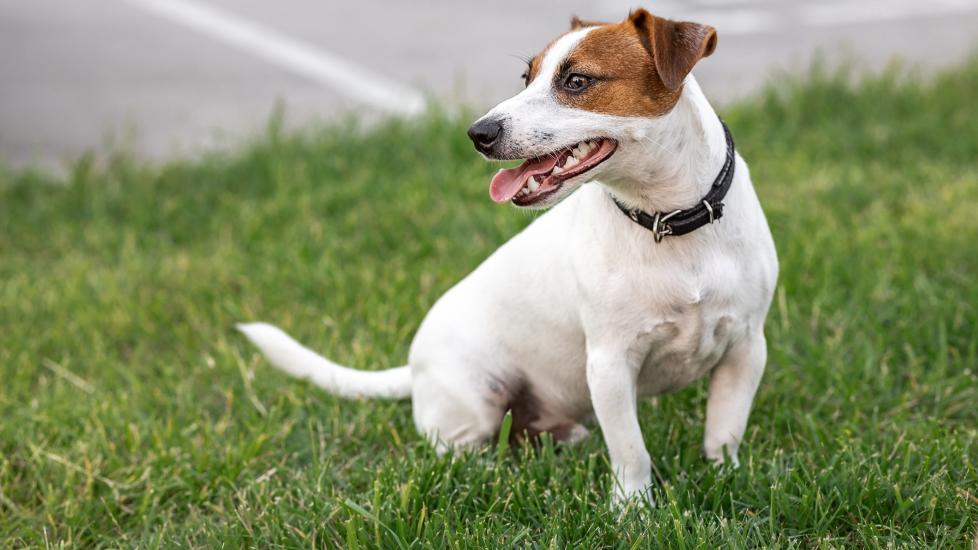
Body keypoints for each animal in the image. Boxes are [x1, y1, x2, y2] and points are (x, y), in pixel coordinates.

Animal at [238, 8, 776, 506]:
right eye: (527, 77)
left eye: (577, 81)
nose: (478, 133)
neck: (668, 219)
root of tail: (413, 368)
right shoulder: (609, 364)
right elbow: (631, 452)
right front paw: (634, 512)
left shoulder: (746, 349)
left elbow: (723, 433)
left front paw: (727, 481)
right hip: (474, 401)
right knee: (463, 451)